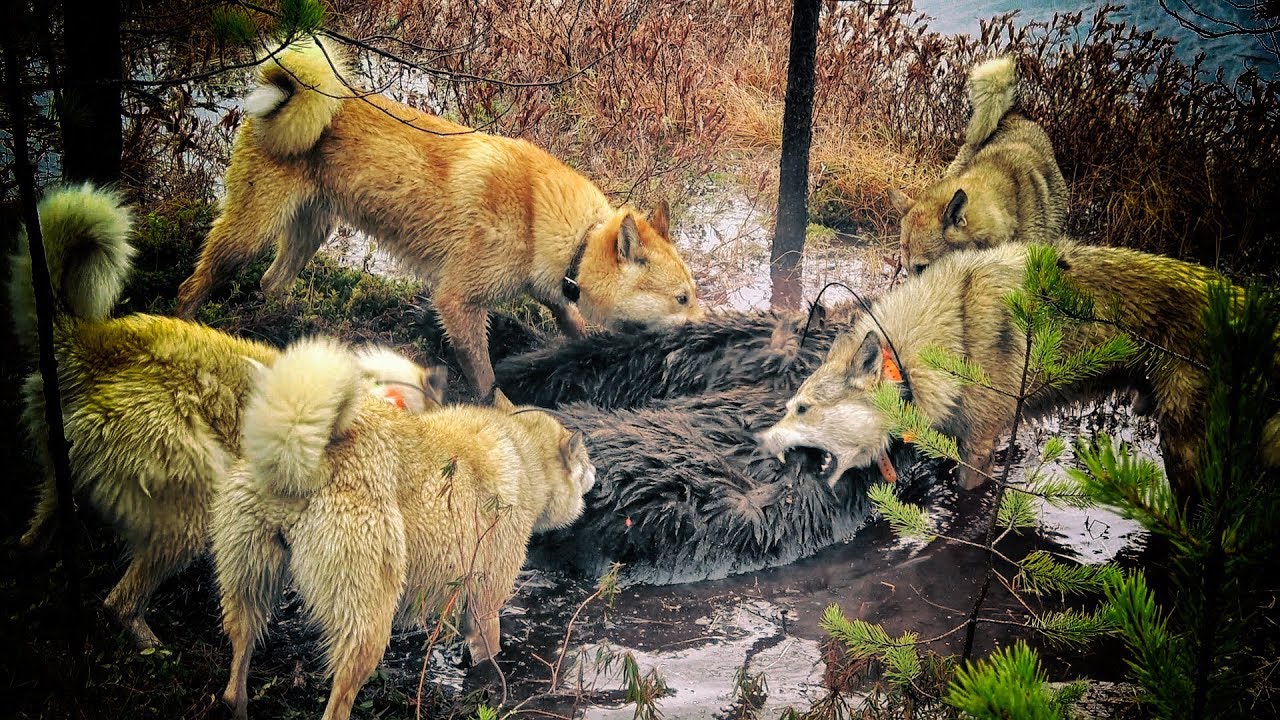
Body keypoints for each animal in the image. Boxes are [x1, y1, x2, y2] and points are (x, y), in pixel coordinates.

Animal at [10, 185, 446, 649]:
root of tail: (91, 345)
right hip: (189, 508)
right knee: (119, 602)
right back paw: (151, 645)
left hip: (62, 478)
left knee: (37, 536)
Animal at [174, 37, 704, 398]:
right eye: (681, 298)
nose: (710, 331)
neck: (570, 234)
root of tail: (290, 94)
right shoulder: (458, 303)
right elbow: (487, 382)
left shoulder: (550, 290)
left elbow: (571, 324)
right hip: (249, 234)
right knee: (195, 285)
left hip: (311, 232)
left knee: (271, 283)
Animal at [211, 338, 595, 720]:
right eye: (585, 459)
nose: (596, 473)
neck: (523, 454)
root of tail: (301, 456)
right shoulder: (485, 608)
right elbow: (490, 657)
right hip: (366, 627)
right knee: (337, 705)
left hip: (247, 590)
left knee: (233, 685)